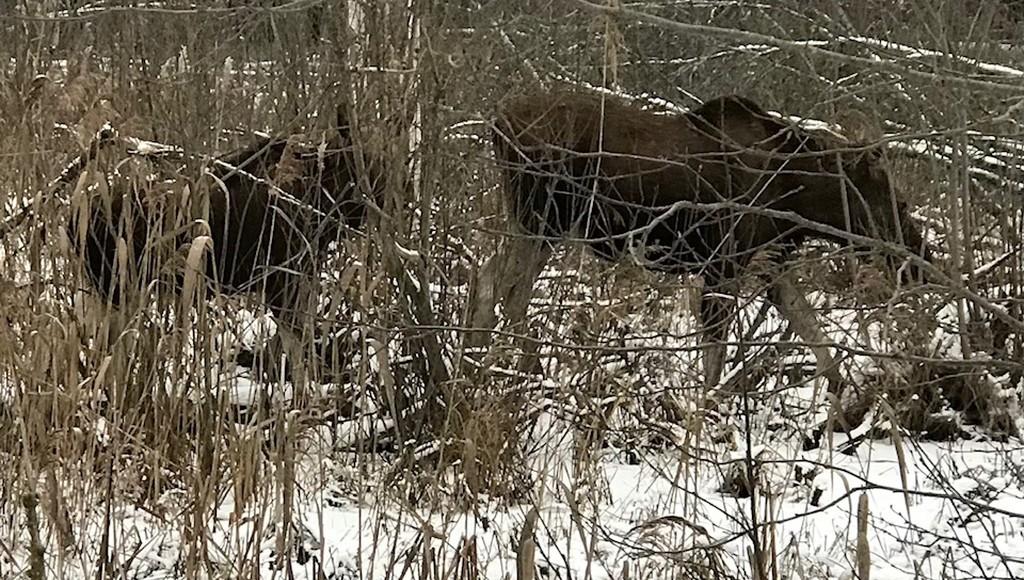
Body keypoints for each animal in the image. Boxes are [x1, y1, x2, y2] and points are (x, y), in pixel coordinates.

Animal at [475, 91, 933, 395]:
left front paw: (845, 394)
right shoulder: (724, 262)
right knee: (502, 285)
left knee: (494, 279)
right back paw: (521, 367)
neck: (799, 192)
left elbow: (808, 325)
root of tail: (497, 123)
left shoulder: (769, 262)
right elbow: (716, 349)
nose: (921, 259)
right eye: (898, 201)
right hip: (542, 220)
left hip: (539, 225)